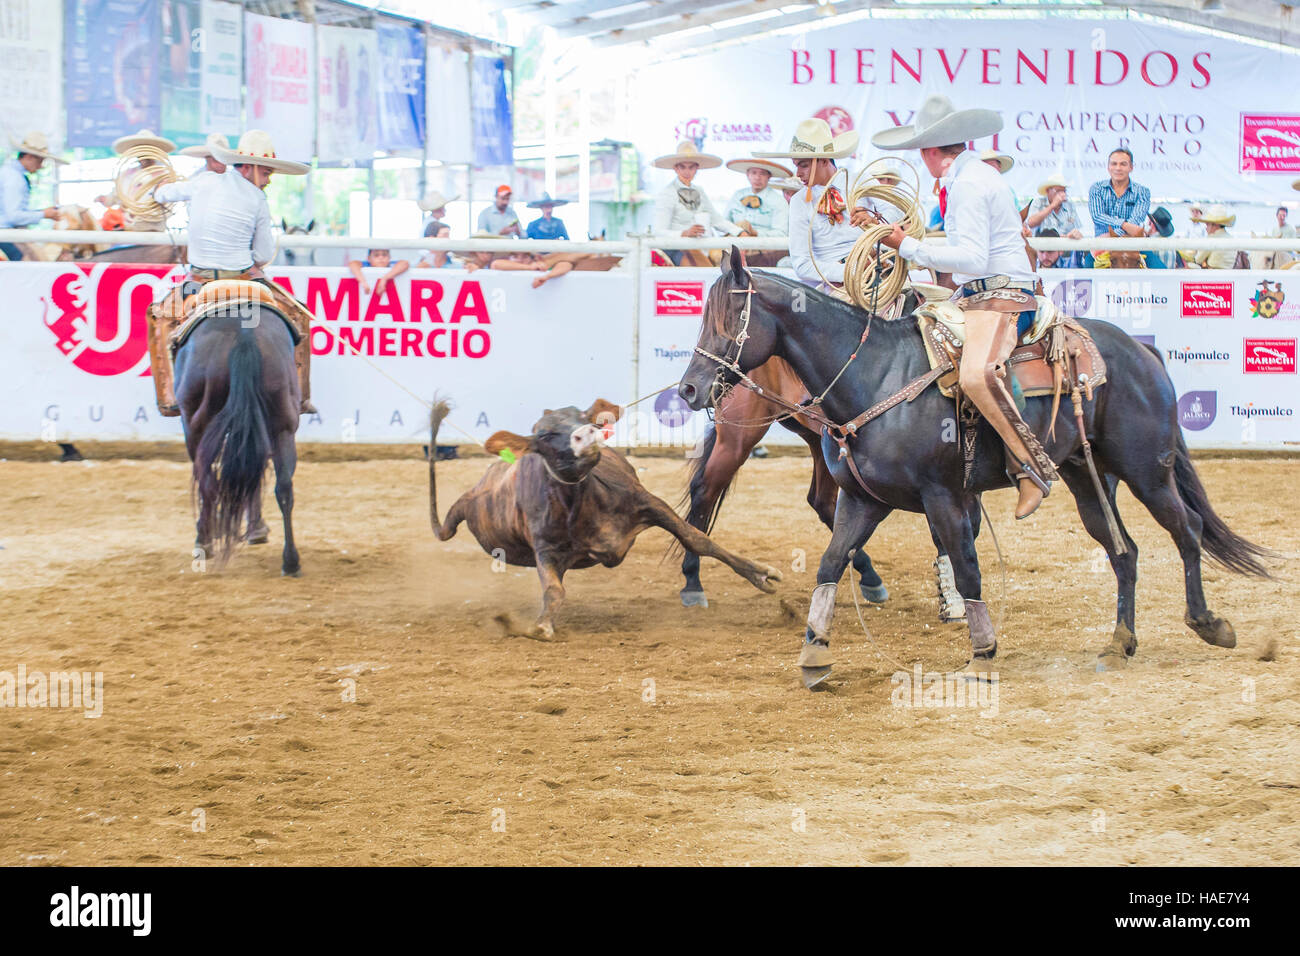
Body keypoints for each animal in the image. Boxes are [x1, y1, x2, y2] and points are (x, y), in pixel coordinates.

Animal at [174, 297, 302, 574]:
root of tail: (245, 336)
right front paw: (256, 529)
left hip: (197, 423)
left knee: (208, 483)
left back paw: (205, 542)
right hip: (282, 425)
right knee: (284, 487)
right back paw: (291, 561)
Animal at [434, 400, 780, 639]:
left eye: (584, 416)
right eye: (544, 433)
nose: (586, 434)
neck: (584, 504)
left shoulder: (649, 504)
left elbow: (697, 538)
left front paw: (760, 573)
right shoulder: (544, 547)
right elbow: (554, 590)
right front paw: (541, 626)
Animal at [681, 251, 1268, 691]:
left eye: (730, 320)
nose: (688, 389)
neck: (873, 374)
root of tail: (1146, 353)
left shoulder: (943, 495)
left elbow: (966, 568)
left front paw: (982, 651)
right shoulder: (864, 499)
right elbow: (829, 565)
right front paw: (815, 656)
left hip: (1147, 468)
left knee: (1187, 530)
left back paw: (1209, 623)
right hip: (1086, 475)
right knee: (1124, 551)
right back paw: (1120, 640)